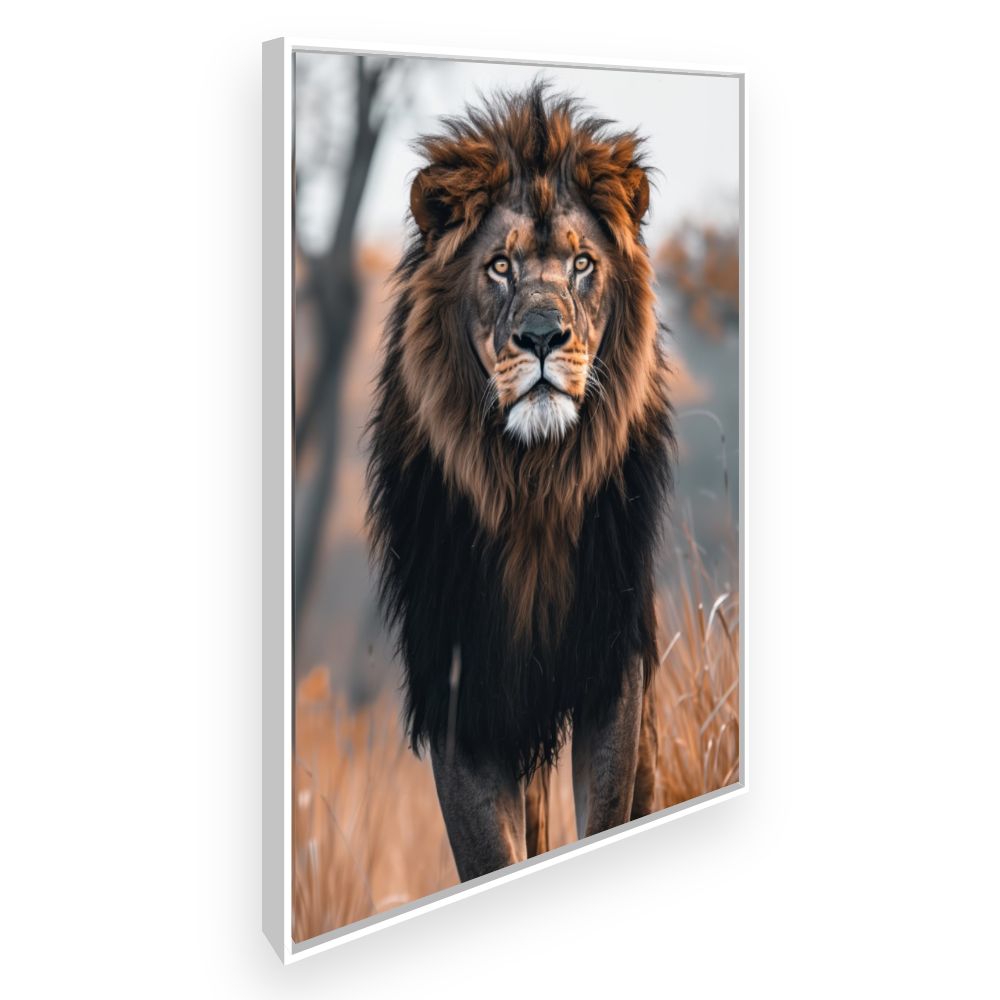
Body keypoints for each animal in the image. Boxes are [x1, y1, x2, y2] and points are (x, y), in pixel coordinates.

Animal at [367, 83, 673, 881]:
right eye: (500, 266)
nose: (540, 336)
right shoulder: (460, 691)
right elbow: (487, 851)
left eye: (582, 264)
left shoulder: (613, 672)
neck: (532, 481)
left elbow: (607, 812)